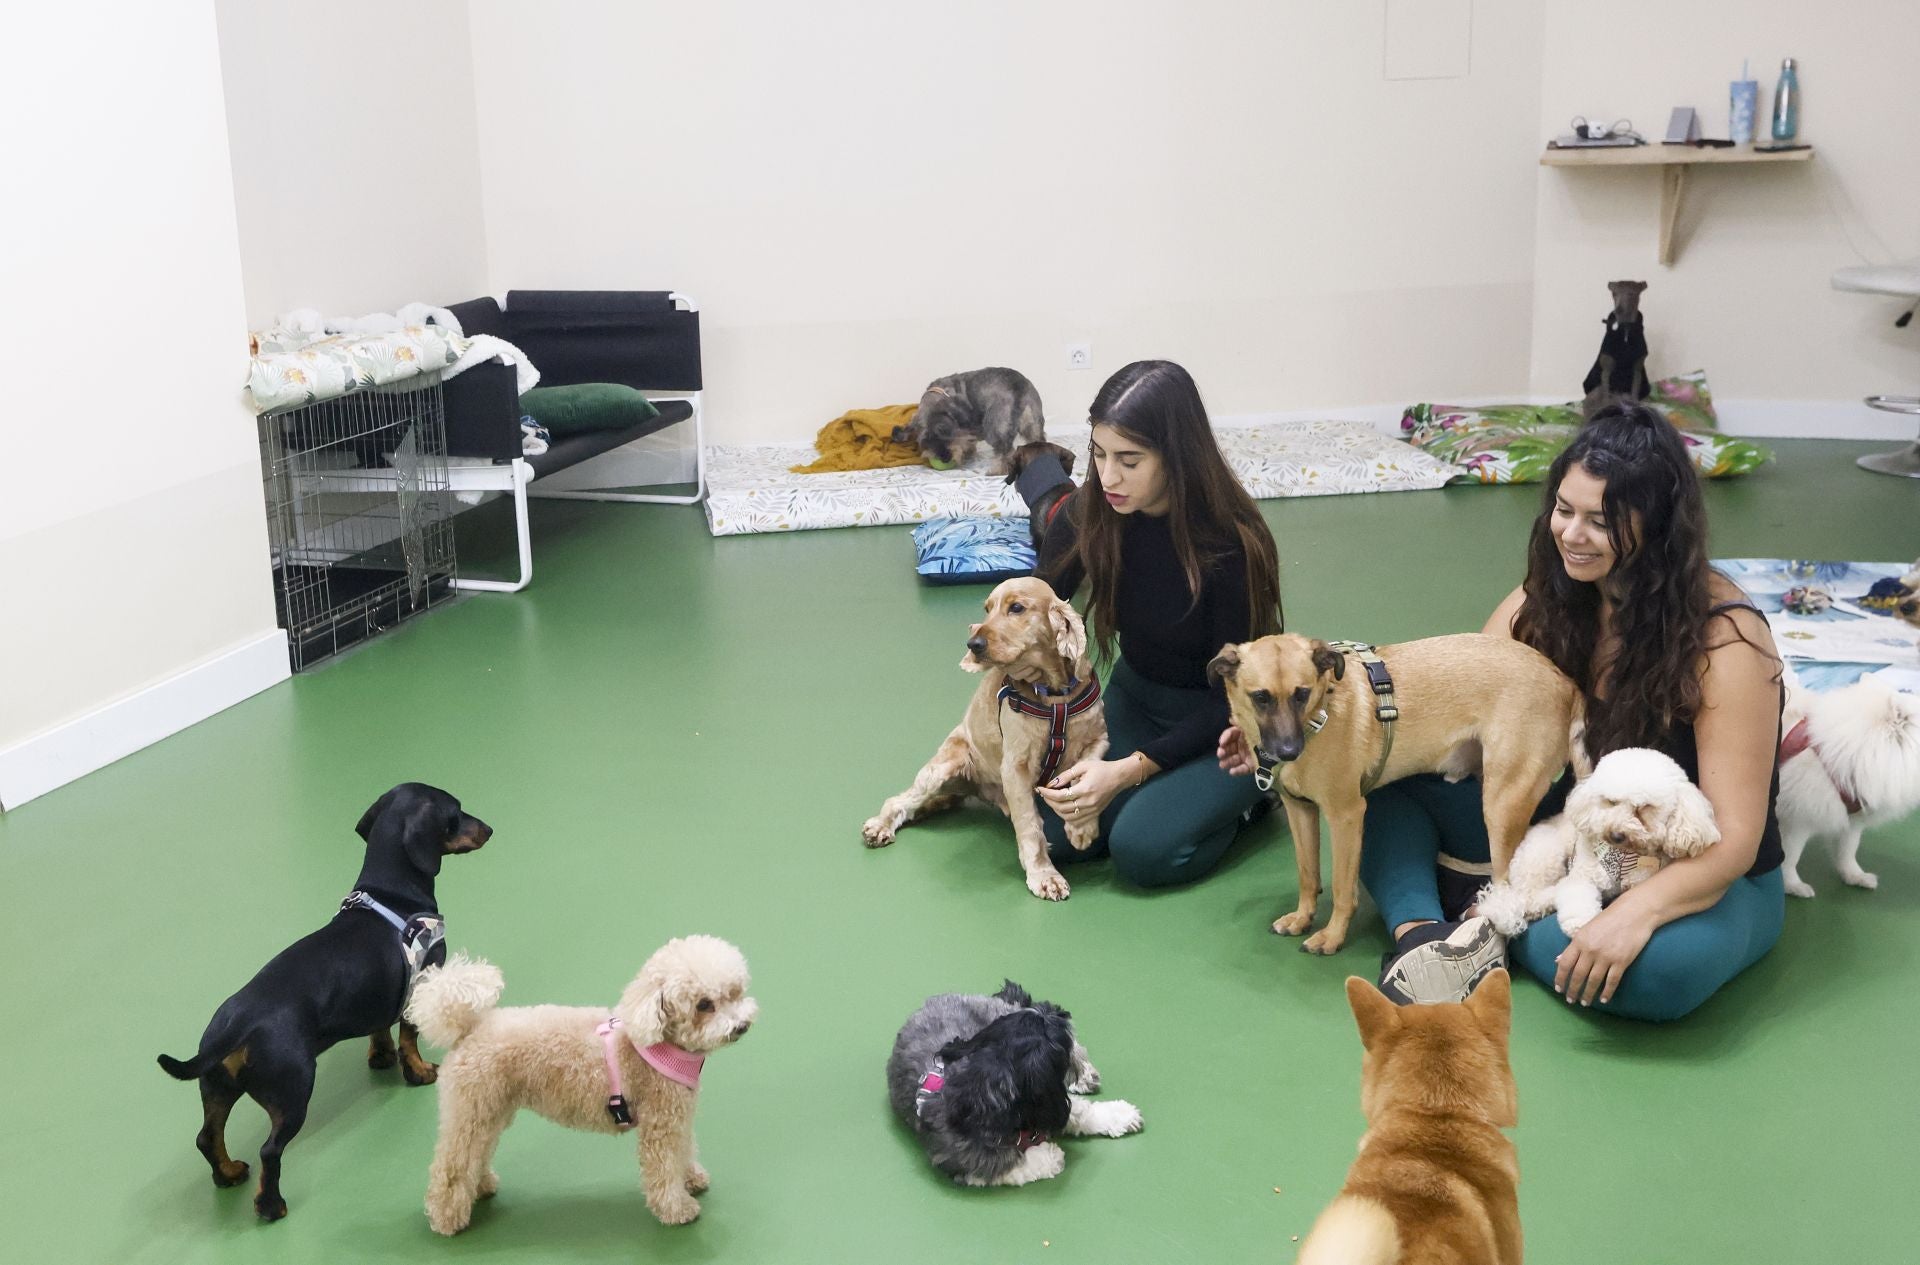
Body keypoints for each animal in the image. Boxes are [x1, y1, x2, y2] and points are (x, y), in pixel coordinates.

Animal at [407, 936, 756, 1228]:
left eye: (735, 993)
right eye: (704, 1005)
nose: (742, 1026)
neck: (657, 1042)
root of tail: (469, 1028)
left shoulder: (679, 1116)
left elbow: (685, 1150)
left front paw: (692, 1179)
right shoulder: (662, 1124)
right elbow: (665, 1167)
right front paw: (677, 1209)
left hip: (490, 1111)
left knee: (477, 1152)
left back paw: (480, 1186)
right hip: (470, 1113)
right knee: (451, 1167)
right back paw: (446, 1218)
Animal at [860, 575, 1105, 902]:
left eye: (1016, 608)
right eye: (987, 609)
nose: (973, 644)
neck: (1054, 697)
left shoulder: (1099, 739)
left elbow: (1085, 776)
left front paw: (1082, 829)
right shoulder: (1015, 768)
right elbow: (1030, 826)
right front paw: (1044, 875)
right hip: (942, 767)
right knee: (899, 800)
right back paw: (880, 826)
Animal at [1213, 637, 1574, 955]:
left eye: (1302, 694)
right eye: (1260, 697)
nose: (1289, 751)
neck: (1322, 710)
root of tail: (1565, 681)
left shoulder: (1346, 815)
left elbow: (1342, 887)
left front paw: (1332, 936)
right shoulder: (1299, 810)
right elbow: (1308, 873)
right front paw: (1302, 917)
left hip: (1501, 811)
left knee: (1515, 895)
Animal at [1474, 752, 1720, 940]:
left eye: (1644, 807)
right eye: (1611, 802)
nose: (1616, 834)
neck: (1624, 854)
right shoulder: (1583, 874)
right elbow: (1577, 896)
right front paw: (1578, 924)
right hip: (1545, 855)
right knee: (1530, 898)